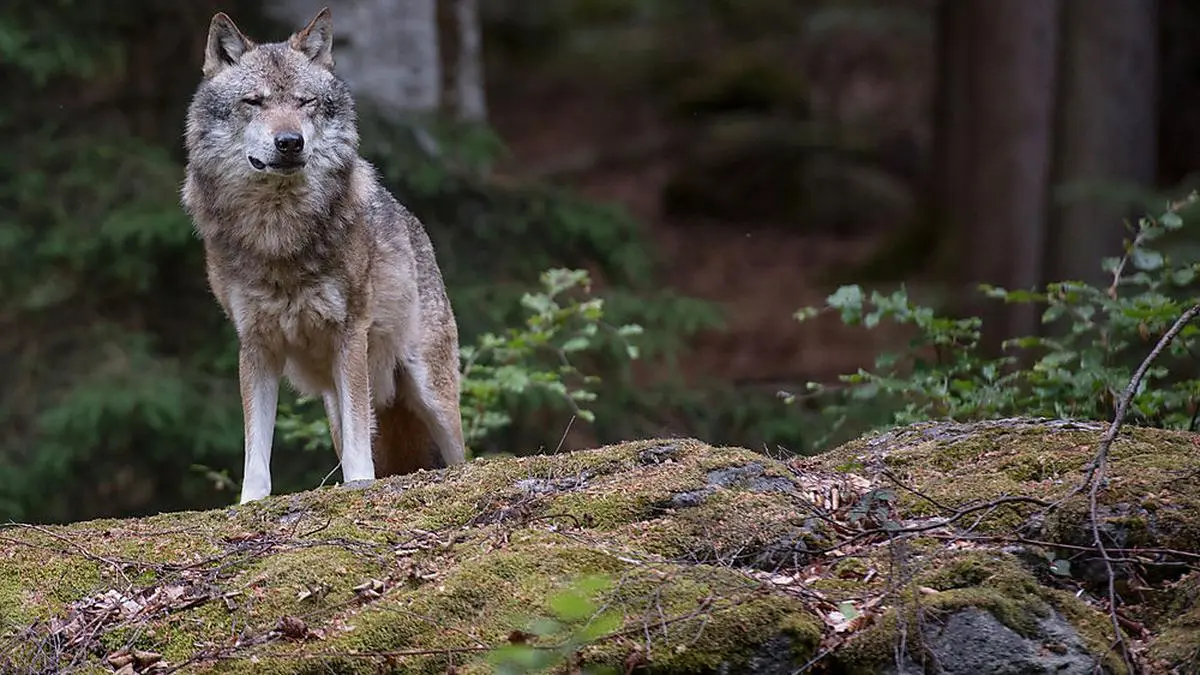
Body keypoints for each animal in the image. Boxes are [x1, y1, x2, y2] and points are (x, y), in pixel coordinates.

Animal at [181, 7, 466, 504]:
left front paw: (359, 486)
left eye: (305, 102)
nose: (290, 142)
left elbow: (357, 446)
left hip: (430, 391)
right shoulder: (256, 345)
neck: (278, 234)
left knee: (461, 456)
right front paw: (250, 503)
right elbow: (256, 448)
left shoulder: (349, 335)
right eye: (253, 102)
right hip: (337, 401)